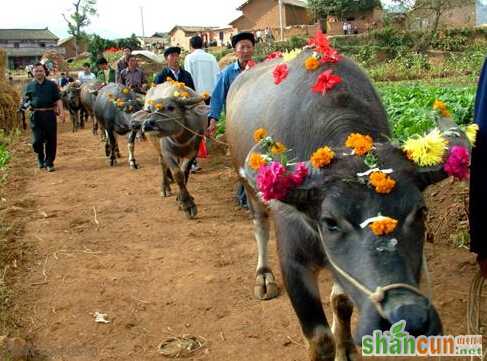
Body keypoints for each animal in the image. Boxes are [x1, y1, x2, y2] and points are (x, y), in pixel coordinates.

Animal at [141, 80, 210, 218]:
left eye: (171, 108)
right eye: (151, 110)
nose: (147, 124)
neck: (181, 137)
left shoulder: (192, 153)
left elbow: (184, 172)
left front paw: (181, 199)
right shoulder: (167, 152)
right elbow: (178, 174)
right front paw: (187, 205)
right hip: (158, 148)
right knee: (162, 164)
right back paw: (165, 188)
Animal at [227, 32, 474, 358]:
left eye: (420, 212)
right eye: (330, 222)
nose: (408, 317)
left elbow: (342, 302)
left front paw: (345, 347)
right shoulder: (293, 260)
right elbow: (319, 339)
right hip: (247, 186)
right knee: (259, 226)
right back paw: (263, 277)